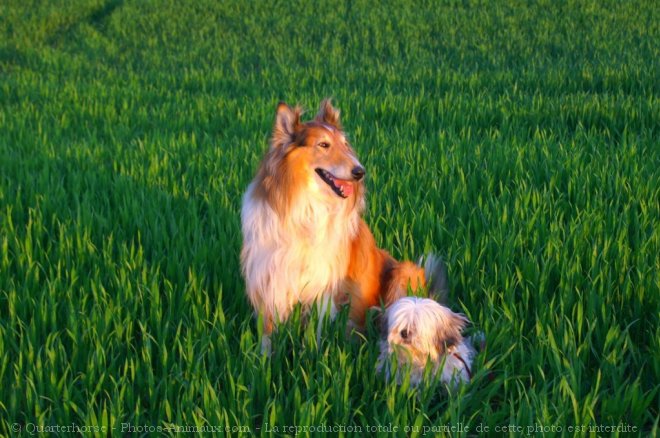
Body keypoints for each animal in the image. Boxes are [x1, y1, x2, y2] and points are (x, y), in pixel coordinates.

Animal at [238, 100, 444, 352]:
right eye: (323, 144)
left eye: (345, 145)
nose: (360, 172)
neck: (307, 207)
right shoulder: (270, 275)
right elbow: (268, 332)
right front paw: (262, 359)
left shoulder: (323, 280)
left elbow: (316, 330)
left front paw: (312, 356)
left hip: (404, 271)